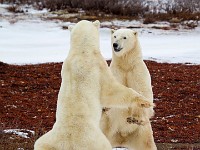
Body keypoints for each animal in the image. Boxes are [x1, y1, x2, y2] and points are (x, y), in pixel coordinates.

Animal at [34, 20, 153, 149]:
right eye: (115, 36)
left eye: (124, 37)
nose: (115, 45)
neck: (82, 51)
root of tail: (69, 142)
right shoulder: (99, 66)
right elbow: (111, 90)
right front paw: (144, 102)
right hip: (94, 139)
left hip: (50, 141)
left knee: (40, 143)